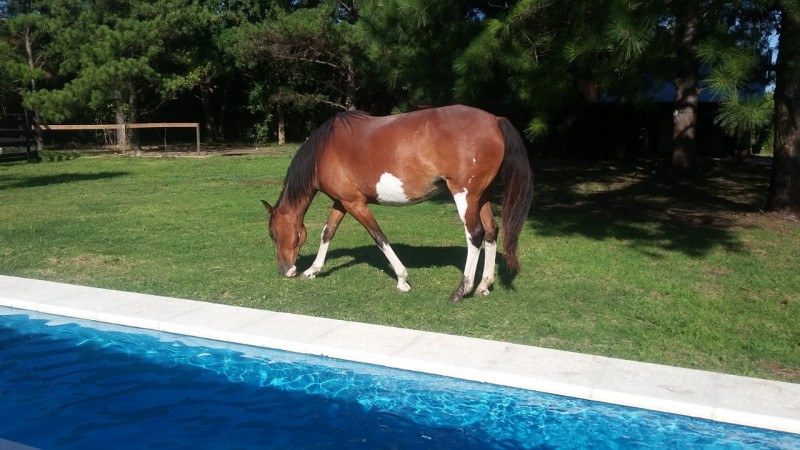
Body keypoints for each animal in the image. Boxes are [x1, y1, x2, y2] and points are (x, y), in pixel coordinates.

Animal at [262, 104, 536, 302]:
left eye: (273, 234)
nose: (284, 270)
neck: (324, 150)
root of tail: (494, 120)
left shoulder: (355, 204)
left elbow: (379, 237)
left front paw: (402, 280)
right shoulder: (343, 202)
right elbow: (327, 233)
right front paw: (313, 270)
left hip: (465, 196)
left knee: (475, 235)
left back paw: (462, 290)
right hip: (481, 197)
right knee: (491, 232)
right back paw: (483, 286)